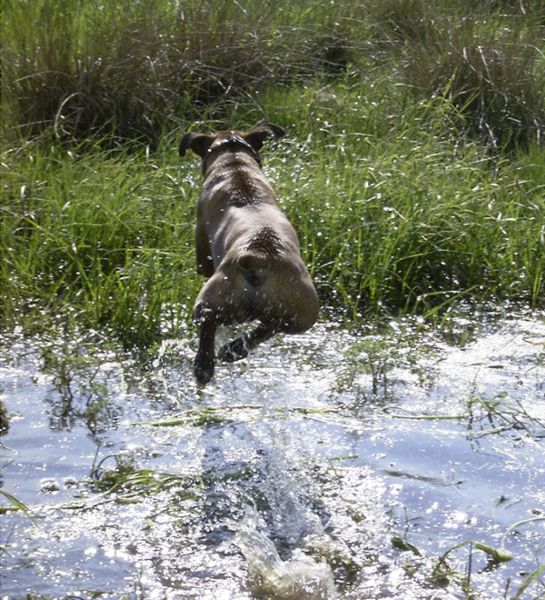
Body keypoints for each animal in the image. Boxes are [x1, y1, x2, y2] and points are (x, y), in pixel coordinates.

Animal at [180, 125, 318, 384]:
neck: (234, 163)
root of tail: (258, 256)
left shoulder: (203, 255)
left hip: (213, 295)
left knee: (208, 318)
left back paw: (204, 365)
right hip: (303, 314)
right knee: (271, 325)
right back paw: (232, 350)